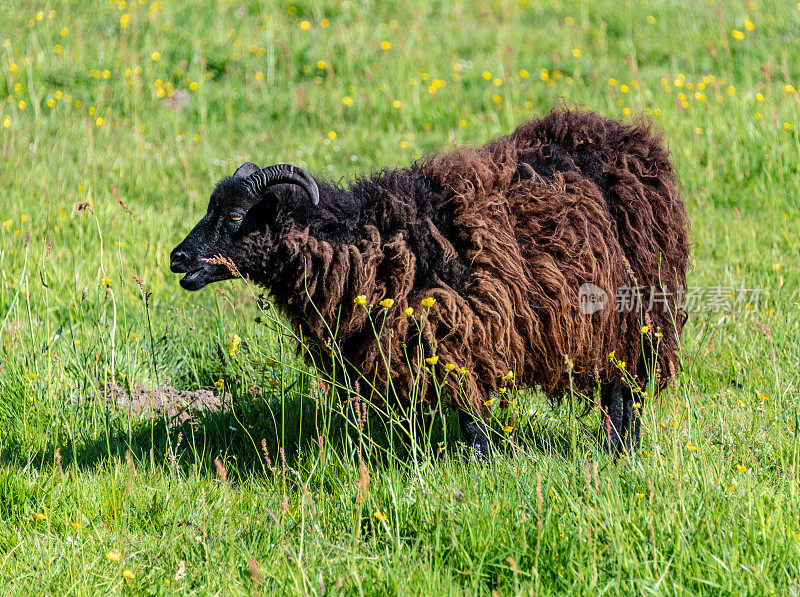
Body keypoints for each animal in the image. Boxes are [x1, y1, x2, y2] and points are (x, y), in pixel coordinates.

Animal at [172, 107, 692, 454]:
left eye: (236, 215)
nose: (178, 259)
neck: (370, 240)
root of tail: (633, 140)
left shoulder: (462, 335)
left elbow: (470, 417)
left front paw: (481, 466)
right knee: (619, 388)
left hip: (637, 313)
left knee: (627, 391)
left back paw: (620, 451)